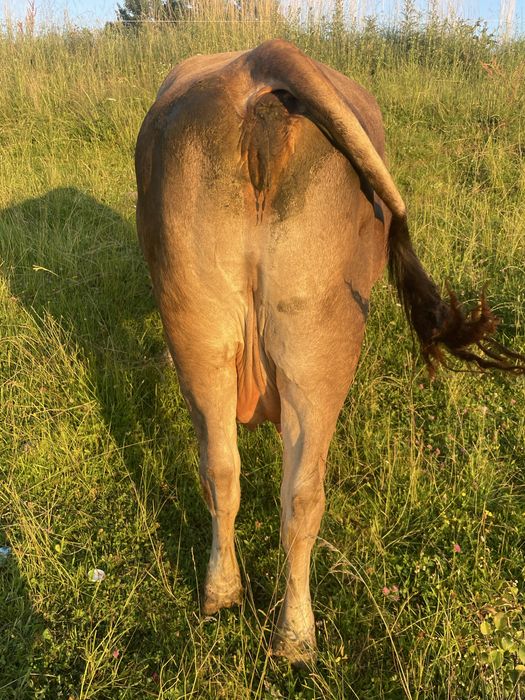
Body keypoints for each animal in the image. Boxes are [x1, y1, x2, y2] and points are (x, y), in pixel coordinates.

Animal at [135, 39, 525, 665]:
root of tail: (261, 60)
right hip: (317, 339)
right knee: (302, 494)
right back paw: (296, 638)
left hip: (205, 326)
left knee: (227, 470)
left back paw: (228, 599)